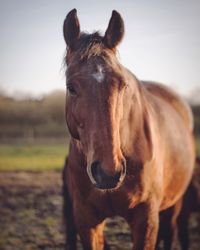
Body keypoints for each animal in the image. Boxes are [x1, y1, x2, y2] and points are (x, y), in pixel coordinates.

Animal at [62, 8, 195, 250]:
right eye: (71, 87)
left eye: (122, 85)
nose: (108, 172)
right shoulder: (86, 220)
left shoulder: (146, 219)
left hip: (174, 204)